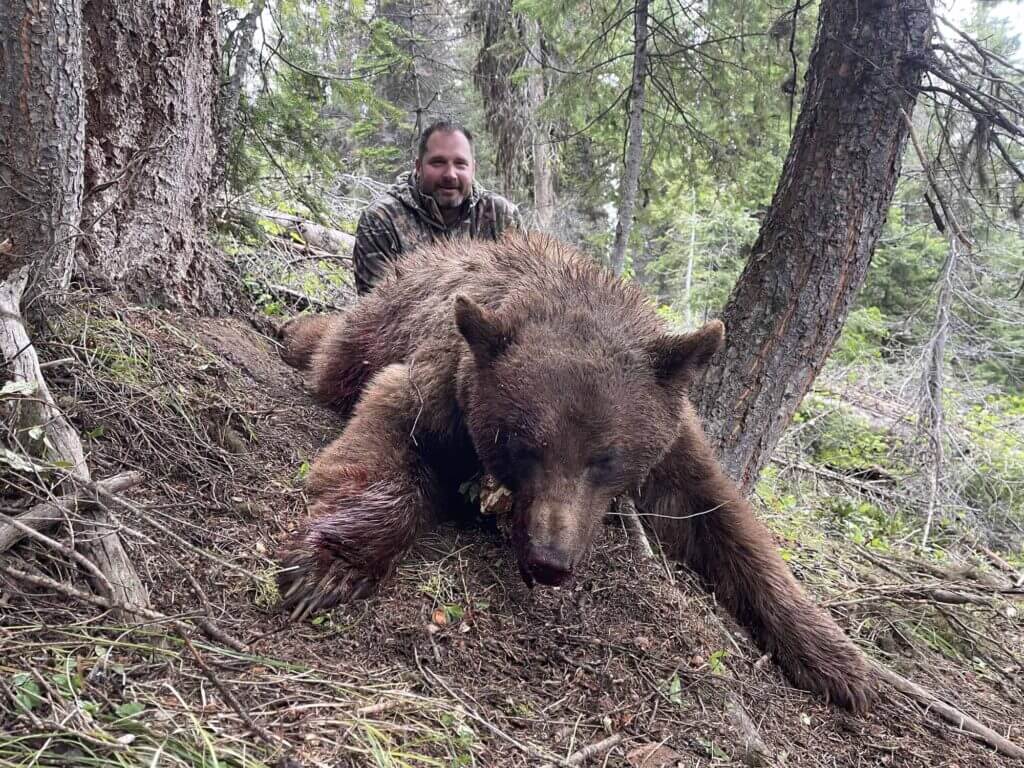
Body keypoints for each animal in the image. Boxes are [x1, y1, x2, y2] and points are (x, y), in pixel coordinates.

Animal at [276, 232, 874, 713]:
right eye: (522, 447)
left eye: (605, 458)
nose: (549, 562)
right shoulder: (443, 382)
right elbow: (389, 436)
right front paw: (329, 565)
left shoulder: (674, 446)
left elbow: (724, 523)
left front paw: (845, 665)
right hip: (376, 327)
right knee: (334, 356)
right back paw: (293, 328)